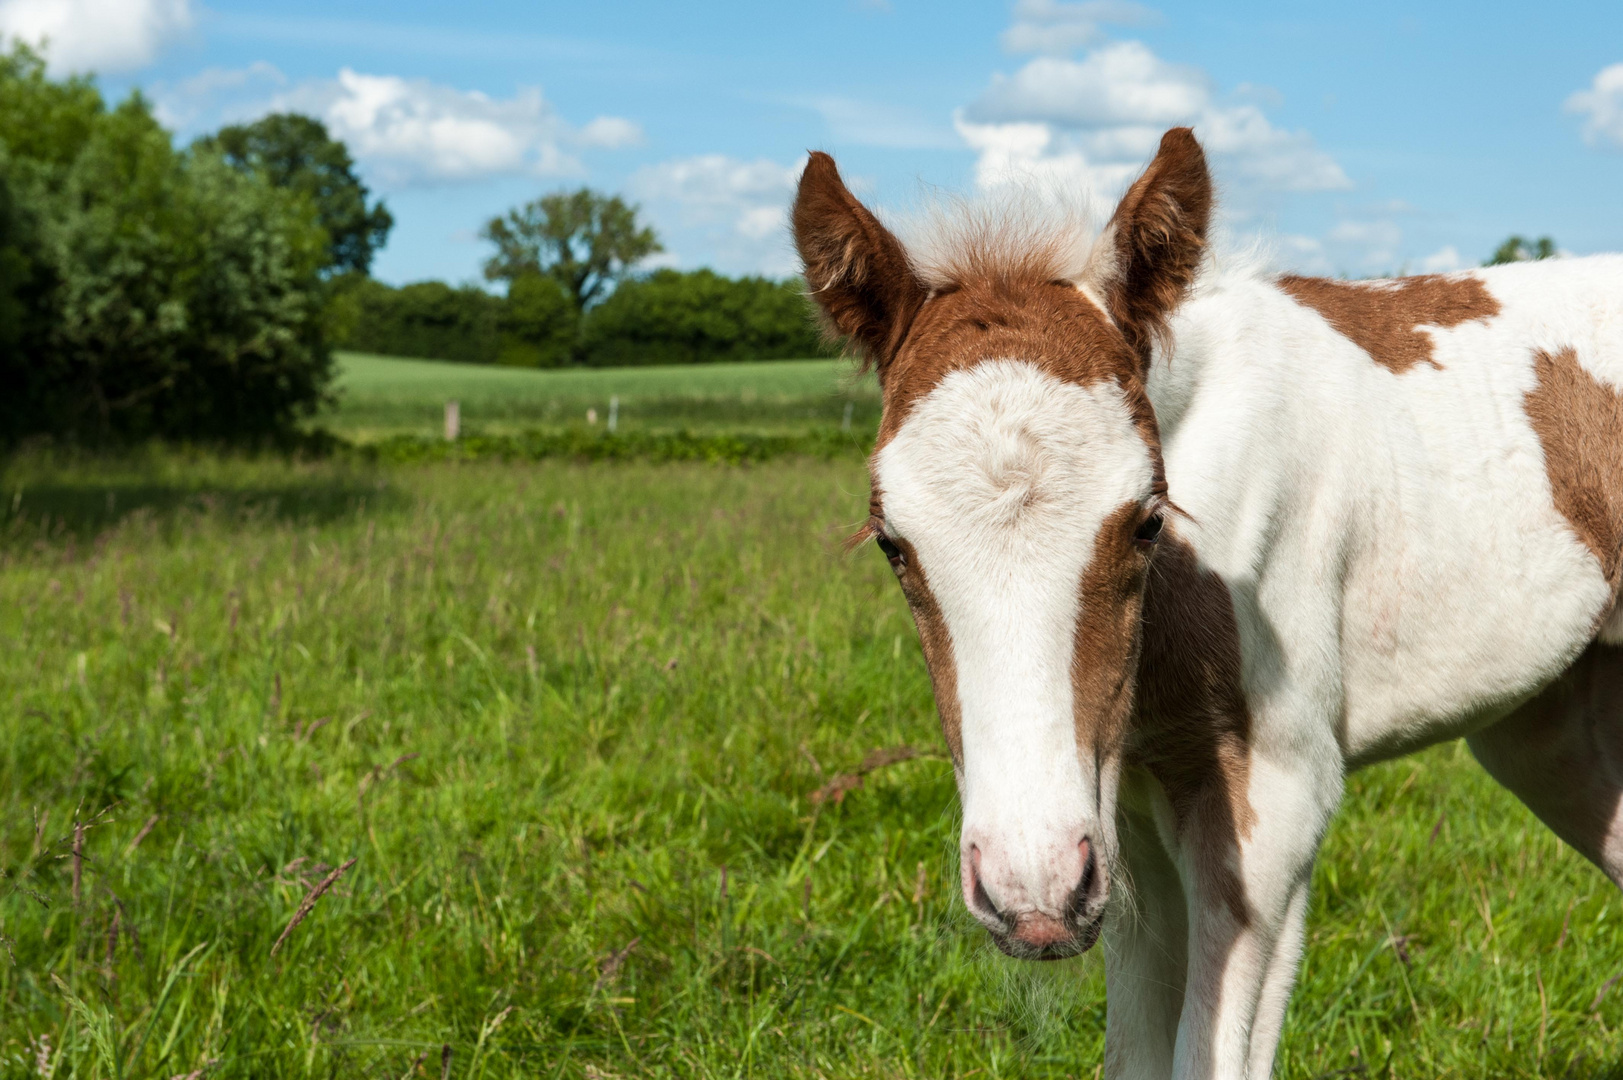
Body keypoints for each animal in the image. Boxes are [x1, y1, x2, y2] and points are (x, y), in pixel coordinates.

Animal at [792, 128, 1623, 1078]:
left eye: (1148, 521)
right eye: (892, 544)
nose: (1028, 893)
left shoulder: (1274, 797)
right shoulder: (1121, 813)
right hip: (1557, 734)